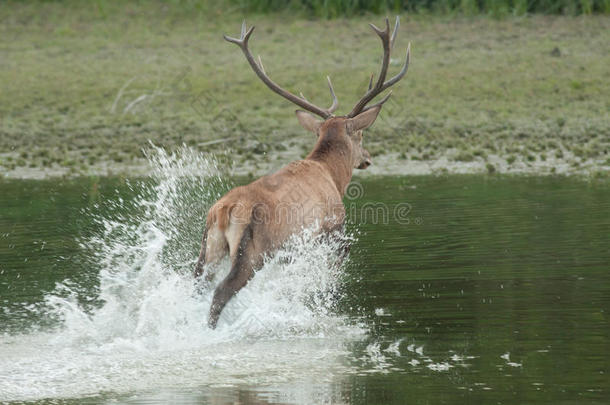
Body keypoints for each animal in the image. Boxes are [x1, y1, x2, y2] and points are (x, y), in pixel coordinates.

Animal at [192, 16, 408, 328]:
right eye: (361, 135)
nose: (367, 158)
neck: (332, 176)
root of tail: (223, 211)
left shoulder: (293, 250)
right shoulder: (330, 228)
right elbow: (338, 260)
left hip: (208, 248)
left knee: (196, 284)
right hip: (251, 252)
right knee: (221, 292)